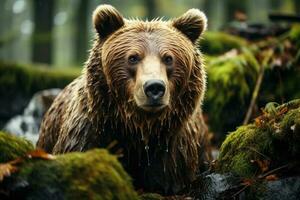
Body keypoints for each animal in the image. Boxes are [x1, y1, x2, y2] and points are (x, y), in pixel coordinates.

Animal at [37, 4, 211, 195]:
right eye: (133, 57)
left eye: (168, 58)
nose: (154, 87)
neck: (136, 127)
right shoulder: (90, 131)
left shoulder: (173, 147)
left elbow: (168, 178)